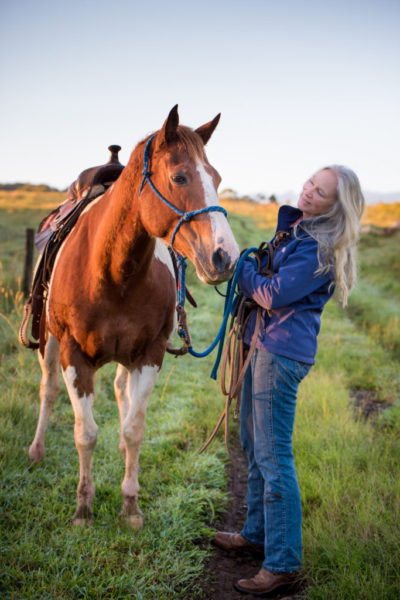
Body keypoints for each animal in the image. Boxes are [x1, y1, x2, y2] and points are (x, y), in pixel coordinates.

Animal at [28, 105, 241, 528]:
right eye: (179, 176)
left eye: (217, 179)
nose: (226, 256)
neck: (112, 271)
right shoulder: (74, 356)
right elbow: (85, 433)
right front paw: (83, 508)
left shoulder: (149, 355)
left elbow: (134, 430)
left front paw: (131, 505)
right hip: (50, 343)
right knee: (48, 390)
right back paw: (36, 450)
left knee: (121, 393)